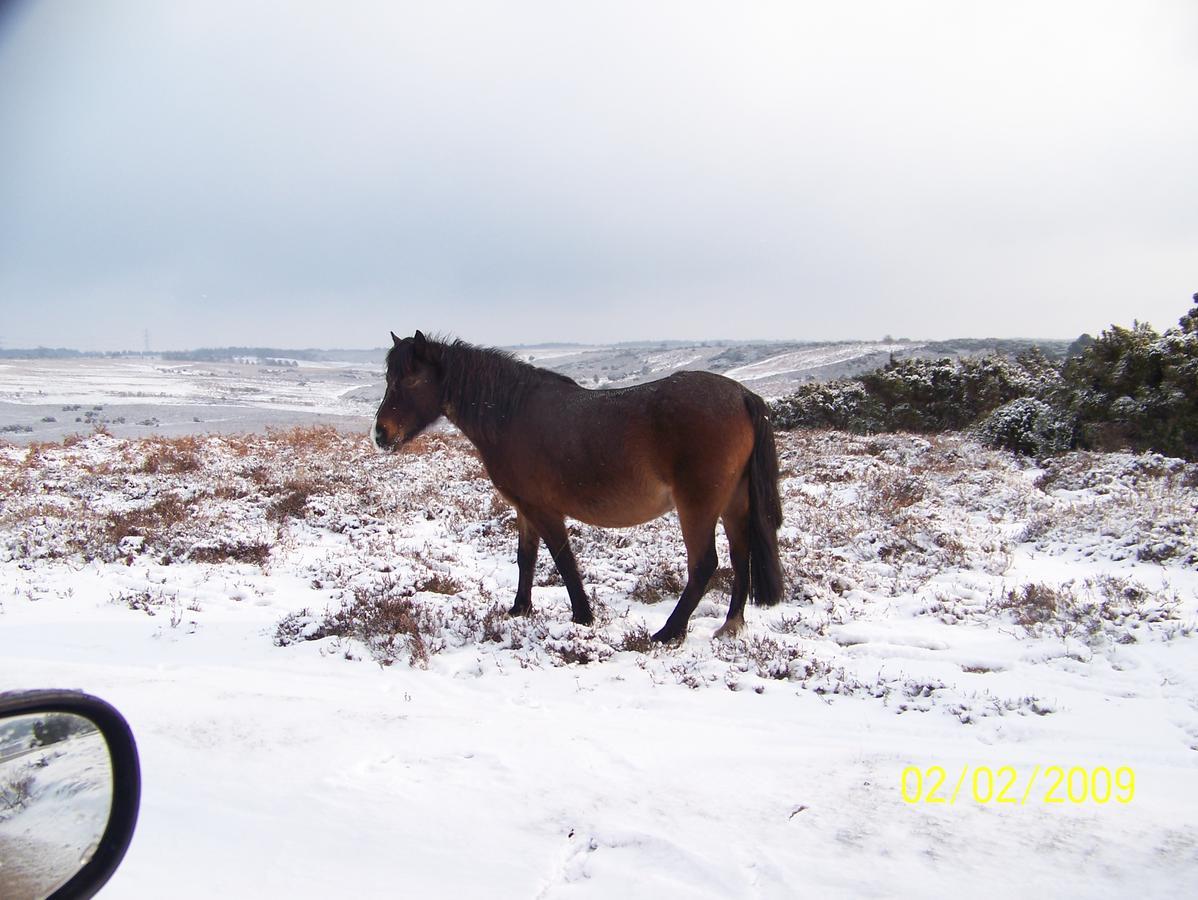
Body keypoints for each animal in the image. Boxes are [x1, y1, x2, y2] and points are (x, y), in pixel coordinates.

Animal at [373, 330, 785, 642]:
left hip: (698, 506)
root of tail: (743, 395)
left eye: (410, 379)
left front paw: (583, 617)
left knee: (704, 564)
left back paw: (668, 633)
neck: (511, 414)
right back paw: (730, 625)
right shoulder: (524, 508)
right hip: (734, 503)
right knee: (740, 556)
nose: (380, 435)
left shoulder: (544, 510)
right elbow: (527, 558)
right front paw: (519, 609)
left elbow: (563, 559)